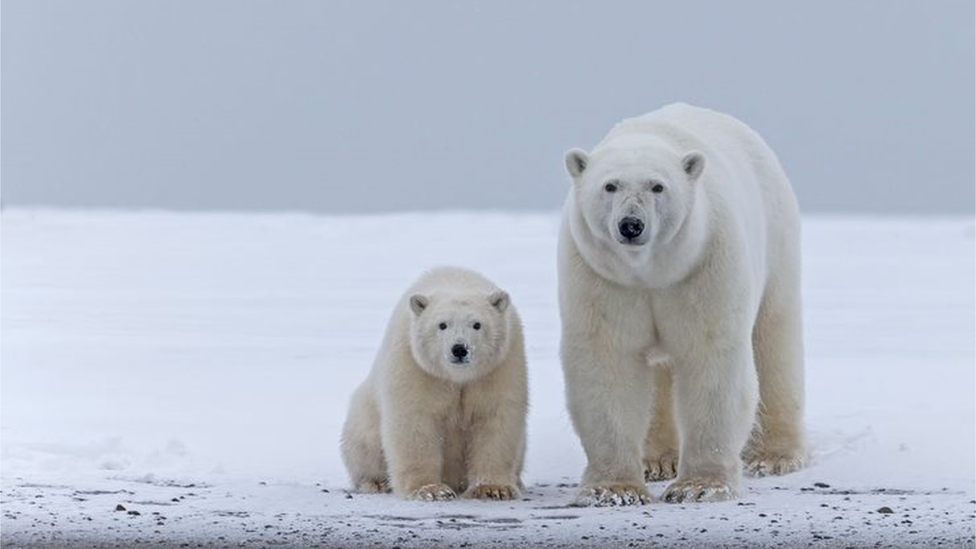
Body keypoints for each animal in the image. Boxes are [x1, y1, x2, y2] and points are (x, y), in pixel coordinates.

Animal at [560, 103, 804, 506]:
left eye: (657, 186)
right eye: (610, 185)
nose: (631, 225)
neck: (651, 271)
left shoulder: (705, 262)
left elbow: (712, 360)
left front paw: (700, 486)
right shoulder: (602, 278)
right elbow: (607, 364)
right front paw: (613, 489)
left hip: (777, 238)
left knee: (774, 341)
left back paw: (775, 457)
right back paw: (658, 460)